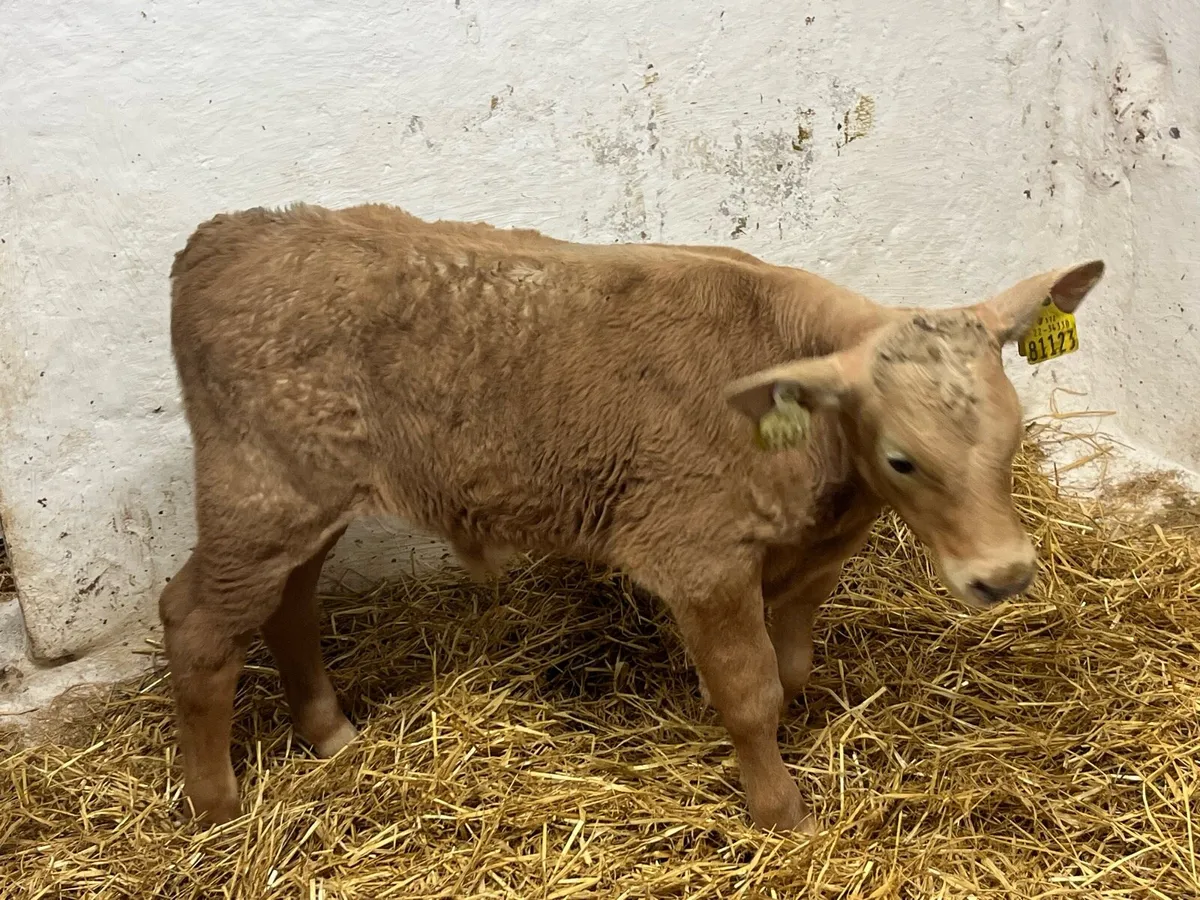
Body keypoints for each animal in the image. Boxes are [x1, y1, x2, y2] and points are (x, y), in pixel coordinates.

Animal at [159, 202, 1105, 832]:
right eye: (904, 457)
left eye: (1015, 431)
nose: (1004, 574)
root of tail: (226, 236)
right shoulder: (700, 555)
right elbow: (751, 690)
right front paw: (782, 812)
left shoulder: (815, 554)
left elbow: (794, 667)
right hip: (260, 492)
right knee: (197, 620)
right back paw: (215, 806)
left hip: (308, 498)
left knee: (287, 604)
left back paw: (330, 735)